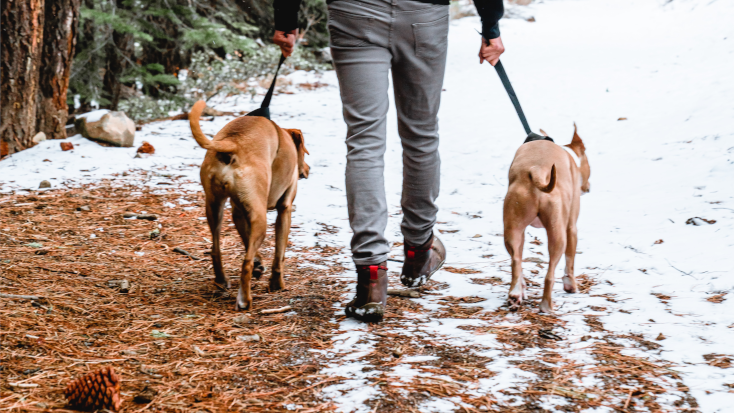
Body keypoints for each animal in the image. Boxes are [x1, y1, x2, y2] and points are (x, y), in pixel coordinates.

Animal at [188, 100, 310, 308]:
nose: (308, 169)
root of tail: (233, 143)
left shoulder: (239, 212)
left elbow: (247, 240)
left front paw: (260, 264)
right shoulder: (284, 210)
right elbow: (279, 254)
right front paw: (277, 284)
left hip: (214, 207)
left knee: (215, 249)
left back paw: (222, 280)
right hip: (260, 219)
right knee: (245, 263)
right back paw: (244, 299)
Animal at [504, 125, 588, 312]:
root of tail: (537, 170)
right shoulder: (571, 228)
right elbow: (570, 262)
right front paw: (571, 285)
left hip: (513, 228)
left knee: (515, 261)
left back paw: (516, 294)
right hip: (559, 235)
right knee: (550, 274)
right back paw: (546, 307)